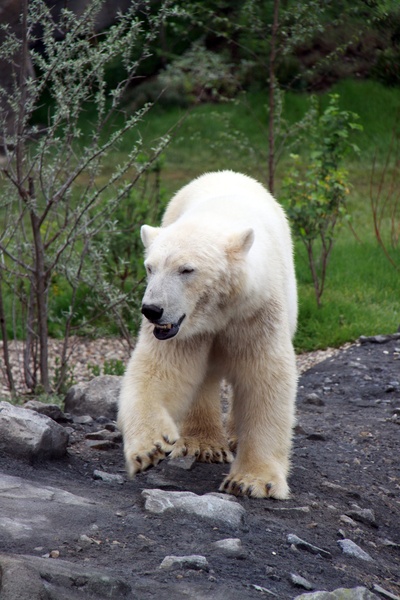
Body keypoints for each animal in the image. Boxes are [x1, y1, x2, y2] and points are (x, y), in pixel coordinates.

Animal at [117, 171, 298, 500]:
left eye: (186, 269)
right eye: (150, 267)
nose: (151, 310)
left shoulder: (257, 312)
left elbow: (265, 378)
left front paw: (251, 481)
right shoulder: (183, 332)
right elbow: (158, 371)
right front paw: (150, 447)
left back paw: (233, 437)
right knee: (203, 379)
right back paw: (203, 445)